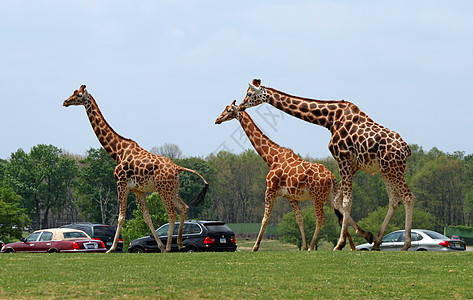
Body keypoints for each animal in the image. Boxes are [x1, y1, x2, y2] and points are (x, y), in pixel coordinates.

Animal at [63, 84, 207, 253]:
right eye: (73, 92)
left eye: (79, 95)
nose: (65, 102)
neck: (118, 151)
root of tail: (177, 168)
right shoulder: (138, 190)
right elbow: (146, 217)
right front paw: (159, 245)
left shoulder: (121, 184)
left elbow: (120, 217)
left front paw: (111, 249)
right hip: (173, 189)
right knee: (184, 208)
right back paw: (178, 243)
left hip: (163, 189)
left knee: (172, 213)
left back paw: (169, 247)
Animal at [214, 100, 354, 251]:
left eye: (228, 110)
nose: (217, 120)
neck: (272, 158)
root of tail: (331, 178)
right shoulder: (291, 197)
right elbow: (299, 219)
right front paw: (303, 246)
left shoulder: (270, 189)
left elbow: (265, 218)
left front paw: (255, 247)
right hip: (329, 195)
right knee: (342, 213)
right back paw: (351, 244)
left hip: (317, 195)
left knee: (321, 218)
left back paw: (314, 246)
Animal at [238, 79, 412, 251]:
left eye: (249, 93)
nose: (240, 105)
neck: (329, 119)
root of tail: (405, 148)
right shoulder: (351, 166)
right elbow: (337, 201)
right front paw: (361, 236)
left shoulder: (343, 159)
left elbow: (346, 202)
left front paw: (340, 244)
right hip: (387, 170)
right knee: (394, 200)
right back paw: (377, 242)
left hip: (394, 168)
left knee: (408, 196)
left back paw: (405, 245)